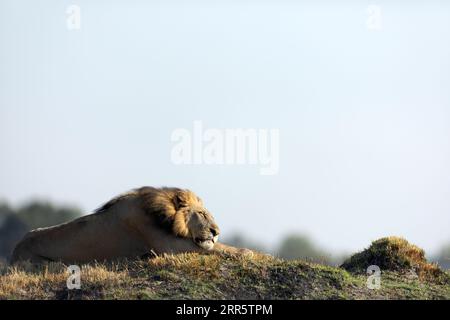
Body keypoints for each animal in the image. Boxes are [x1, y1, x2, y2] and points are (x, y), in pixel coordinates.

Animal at [10, 186, 251, 264]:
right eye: (201, 214)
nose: (216, 231)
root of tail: (14, 250)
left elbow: (217, 247)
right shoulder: (168, 247)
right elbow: (218, 249)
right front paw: (246, 251)